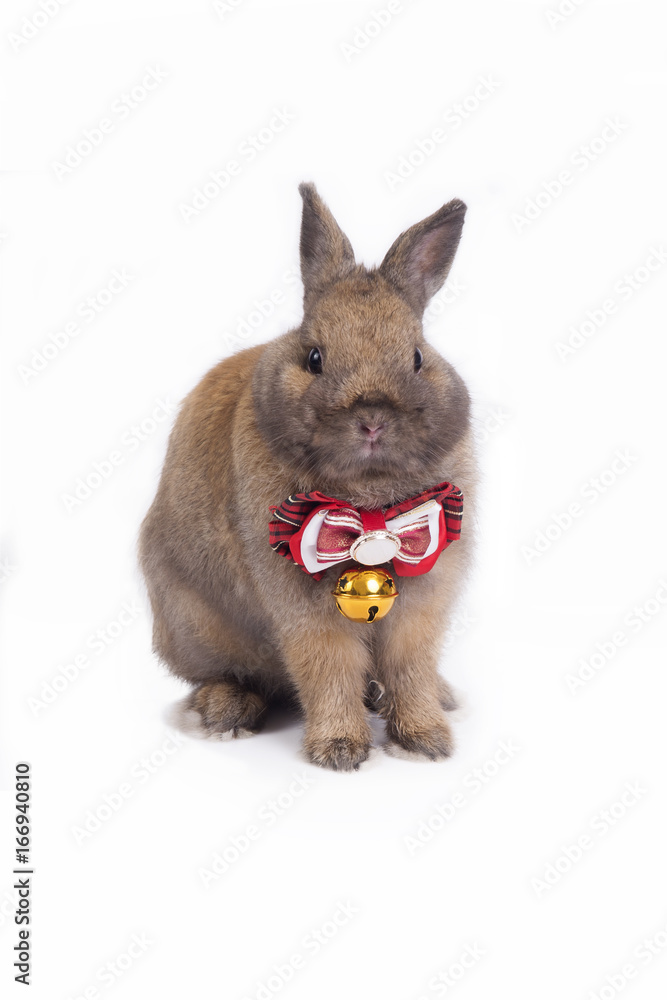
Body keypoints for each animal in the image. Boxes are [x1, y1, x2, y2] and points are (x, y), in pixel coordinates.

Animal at [140, 184, 474, 768]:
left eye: (416, 357)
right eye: (314, 357)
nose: (371, 419)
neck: (368, 498)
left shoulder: (424, 597)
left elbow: (409, 665)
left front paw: (426, 741)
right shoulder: (301, 606)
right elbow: (328, 666)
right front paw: (338, 750)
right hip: (194, 626)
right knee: (225, 675)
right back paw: (224, 713)